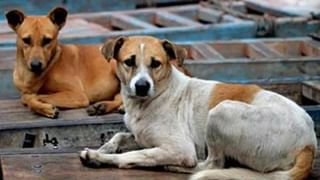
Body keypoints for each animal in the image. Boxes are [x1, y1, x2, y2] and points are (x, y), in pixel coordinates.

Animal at [79, 35, 316, 180]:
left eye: (155, 63)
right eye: (129, 62)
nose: (142, 86)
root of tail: (309, 144)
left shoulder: (180, 149)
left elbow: (132, 155)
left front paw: (98, 157)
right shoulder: (139, 135)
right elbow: (119, 135)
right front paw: (106, 147)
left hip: (220, 111)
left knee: (213, 165)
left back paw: (176, 167)